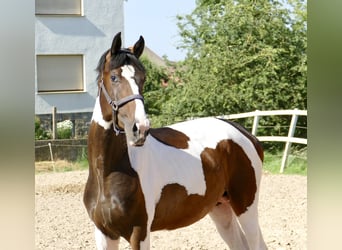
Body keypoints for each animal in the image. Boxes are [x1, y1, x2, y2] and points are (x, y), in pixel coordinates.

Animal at [83, 32, 268, 249]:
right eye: (114, 77)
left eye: (143, 78)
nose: (140, 128)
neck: (107, 172)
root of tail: (246, 135)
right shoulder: (105, 233)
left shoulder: (139, 232)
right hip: (221, 209)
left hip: (246, 207)